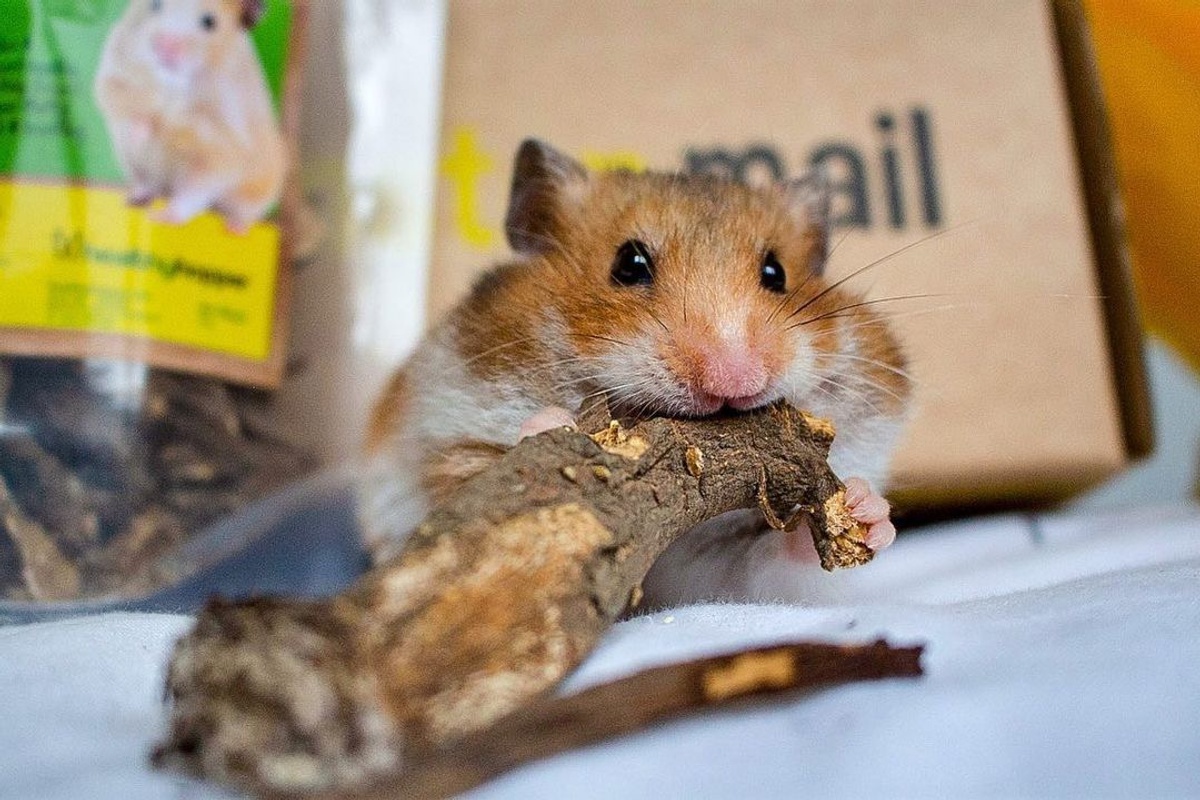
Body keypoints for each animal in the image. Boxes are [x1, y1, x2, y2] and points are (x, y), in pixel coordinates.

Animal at [94, 0, 285, 234]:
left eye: (210, 22)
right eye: (155, 4)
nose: (165, 45)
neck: (172, 85)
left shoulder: (222, 151)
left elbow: (193, 192)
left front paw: (163, 217)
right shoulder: (114, 76)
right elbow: (127, 109)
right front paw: (141, 134)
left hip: (258, 189)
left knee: (245, 211)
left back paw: (235, 228)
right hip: (134, 165)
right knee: (148, 184)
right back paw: (135, 199)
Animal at [358, 139, 912, 607]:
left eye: (776, 273)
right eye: (629, 264)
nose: (734, 381)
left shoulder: (705, 570)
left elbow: (772, 562)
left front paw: (865, 510)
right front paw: (551, 424)